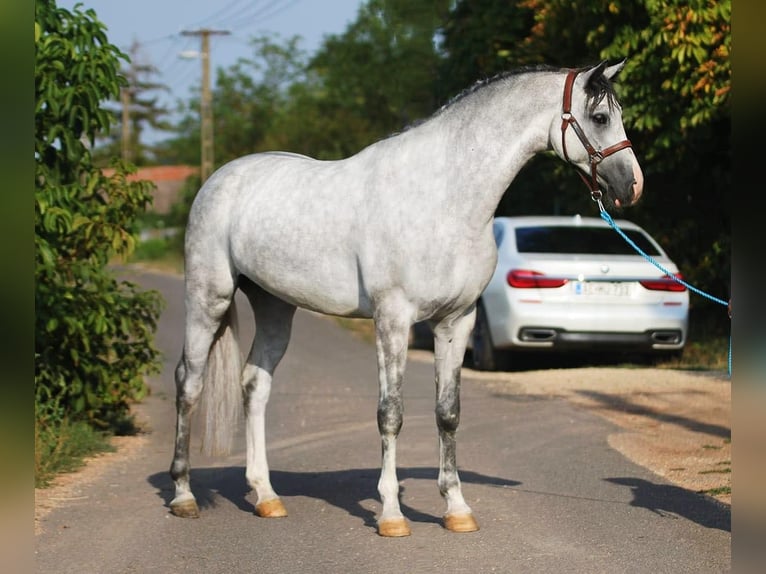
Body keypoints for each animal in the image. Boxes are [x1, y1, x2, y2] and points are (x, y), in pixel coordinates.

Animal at [171, 60, 644, 536]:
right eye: (599, 117)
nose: (633, 186)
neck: (443, 199)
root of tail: (220, 179)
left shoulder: (457, 321)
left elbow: (448, 413)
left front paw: (457, 509)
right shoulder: (393, 319)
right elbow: (391, 413)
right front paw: (392, 515)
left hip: (275, 306)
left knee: (255, 385)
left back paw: (267, 496)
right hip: (208, 297)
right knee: (188, 383)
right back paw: (183, 495)